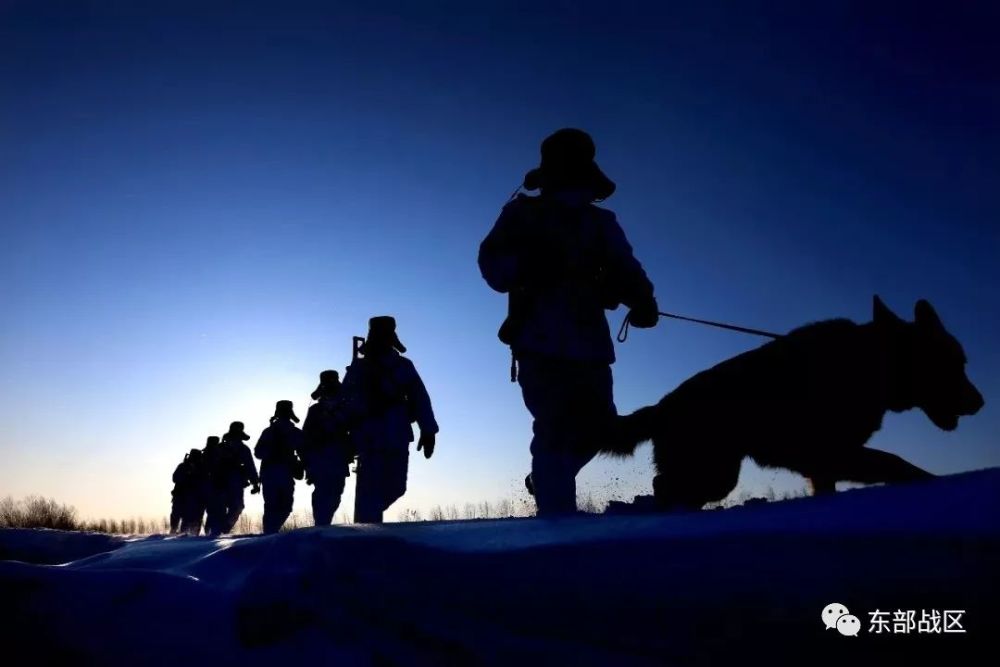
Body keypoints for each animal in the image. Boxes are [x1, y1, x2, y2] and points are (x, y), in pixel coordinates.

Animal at [600, 298, 984, 512]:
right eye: (951, 365)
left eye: (963, 362)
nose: (980, 403)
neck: (872, 364)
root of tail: (662, 405)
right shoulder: (835, 452)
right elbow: (898, 464)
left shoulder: (825, 464)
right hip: (714, 473)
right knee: (664, 488)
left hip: (714, 475)